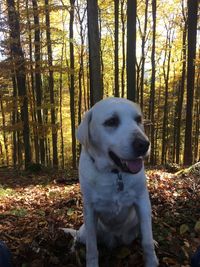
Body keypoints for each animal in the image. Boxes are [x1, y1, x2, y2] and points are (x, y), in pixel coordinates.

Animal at [63, 98, 159, 267]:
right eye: (111, 121)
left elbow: (146, 241)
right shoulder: (89, 210)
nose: (143, 144)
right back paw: (73, 250)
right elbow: (92, 249)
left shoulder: (142, 202)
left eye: (138, 119)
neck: (114, 173)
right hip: (84, 231)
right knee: (77, 238)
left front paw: (152, 261)